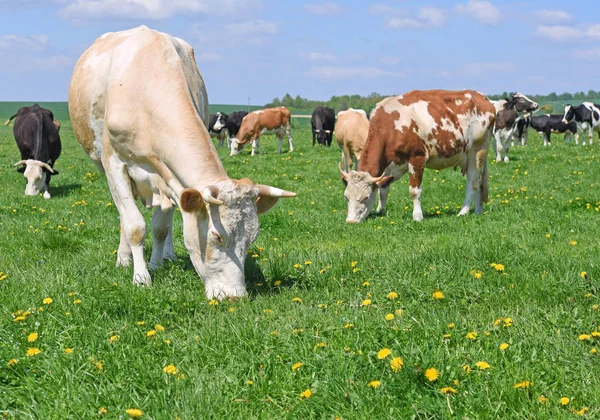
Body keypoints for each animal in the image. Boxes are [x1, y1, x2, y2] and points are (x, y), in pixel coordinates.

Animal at [67, 26, 296, 300]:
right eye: (217, 236)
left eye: (252, 238)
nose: (234, 297)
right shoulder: (114, 163)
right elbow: (134, 225)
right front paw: (141, 277)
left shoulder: (167, 172)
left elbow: (160, 227)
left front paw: (156, 264)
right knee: (125, 213)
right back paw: (124, 258)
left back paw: (167, 255)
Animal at [340, 90, 494, 225]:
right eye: (346, 197)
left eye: (365, 197)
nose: (350, 221)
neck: (390, 126)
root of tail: (482, 97)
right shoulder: (389, 166)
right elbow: (383, 190)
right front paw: (380, 211)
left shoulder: (417, 158)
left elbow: (414, 191)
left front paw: (417, 216)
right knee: (480, 182)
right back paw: (478, 210)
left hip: (477, 150)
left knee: (473, 182)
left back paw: (463, 211)